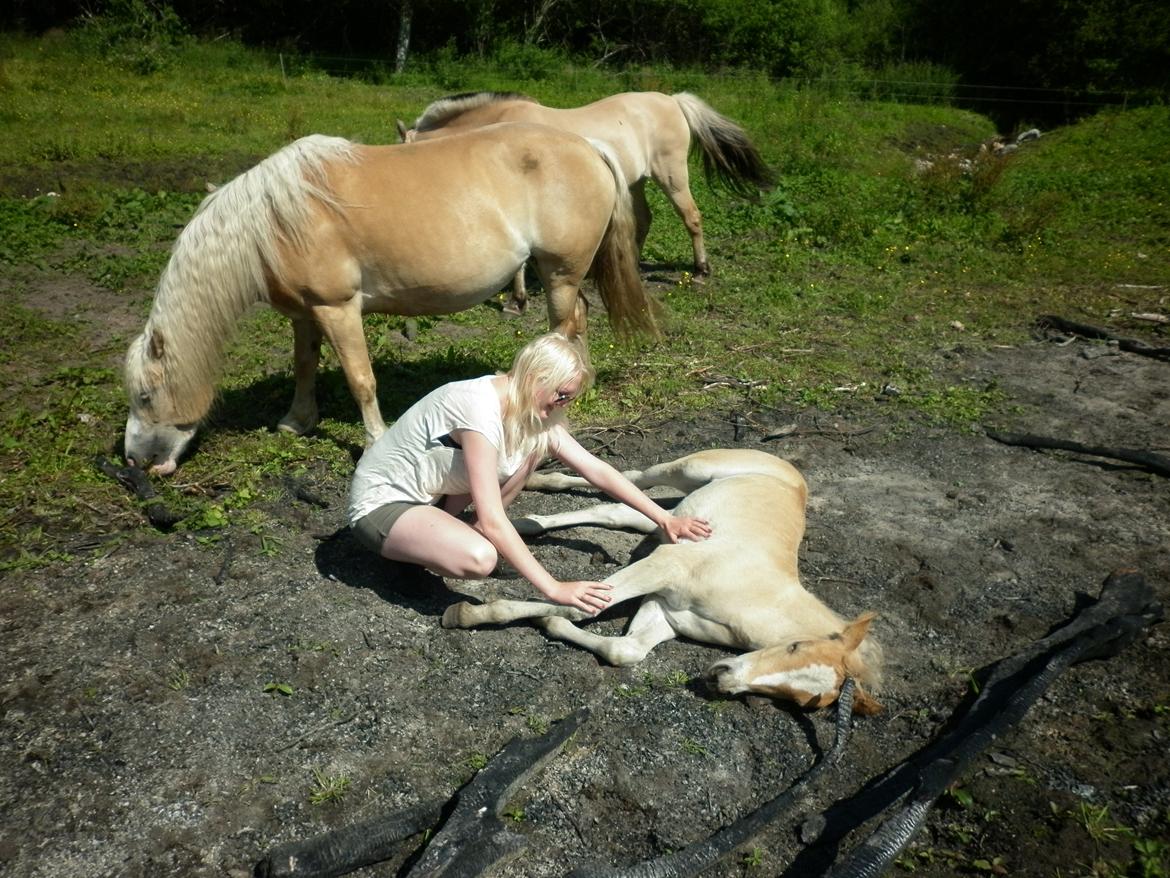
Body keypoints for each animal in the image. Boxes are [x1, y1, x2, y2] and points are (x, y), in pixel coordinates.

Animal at [128, 124, 659, 475]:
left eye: (146, 395)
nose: (136, 462)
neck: (277, 219)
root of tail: (588, 147)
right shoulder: (306, 314)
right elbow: (304, 365)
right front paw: (297, 421)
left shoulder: (338, 309)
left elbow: (361, 379)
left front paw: (373, 442)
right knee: (578, 322)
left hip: (560, 272)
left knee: (564, 327)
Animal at [402, 91, 776, 313]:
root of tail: (672, 100)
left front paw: (517, 300)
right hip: (634, 182)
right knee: (643, 220)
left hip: (671, 175)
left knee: (691, 217)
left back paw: (700, 272)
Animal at [442, 447, 879, 716]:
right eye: (793, 646)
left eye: (805, 701)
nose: (721, 678)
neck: (752, 598)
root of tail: (789, 469)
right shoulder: (665, 566)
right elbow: (588, 604)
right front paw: (466, 614)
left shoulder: (668, 610)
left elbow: (626, 651)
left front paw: (549, 623)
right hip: (691, 470)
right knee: (632, 477)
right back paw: (532, 488)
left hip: (672, 518)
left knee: (620, 511)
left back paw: (523, 522)